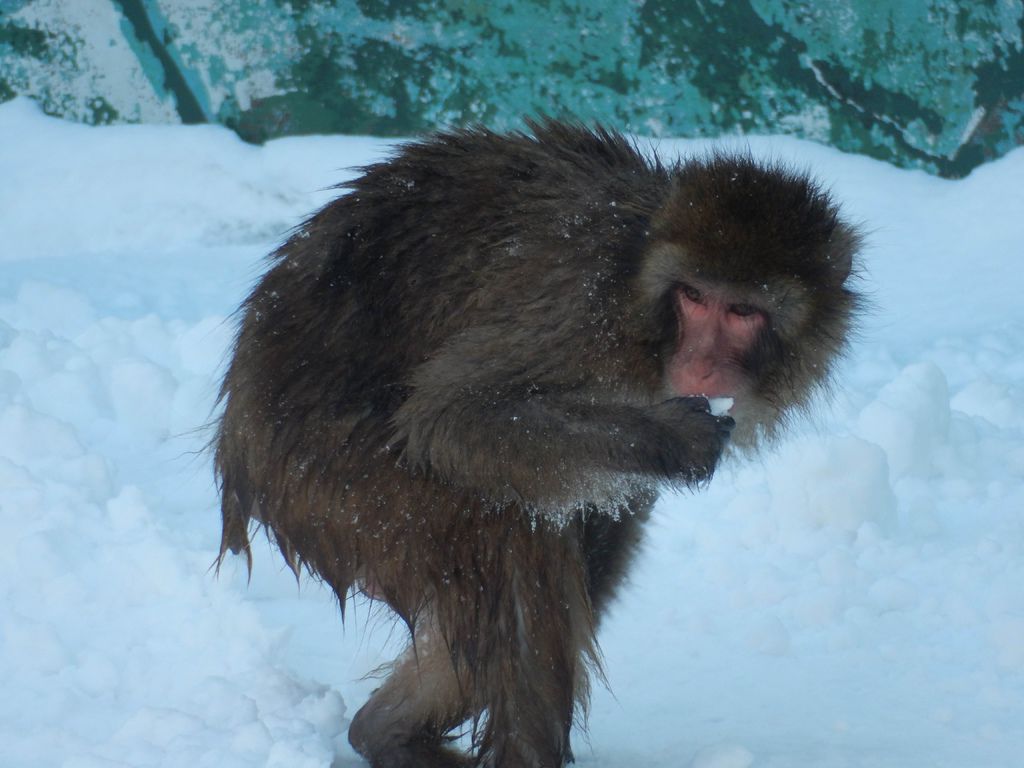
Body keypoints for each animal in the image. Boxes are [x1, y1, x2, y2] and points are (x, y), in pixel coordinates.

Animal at [216, 120, 864, 768]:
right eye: (695, 298)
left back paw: (382, 732)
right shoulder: (581, 311)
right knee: (508, 532)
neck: (639, 291)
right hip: (333, 480)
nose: (703, 364)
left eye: (743, 311)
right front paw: (671, 438)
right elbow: (446, 416)